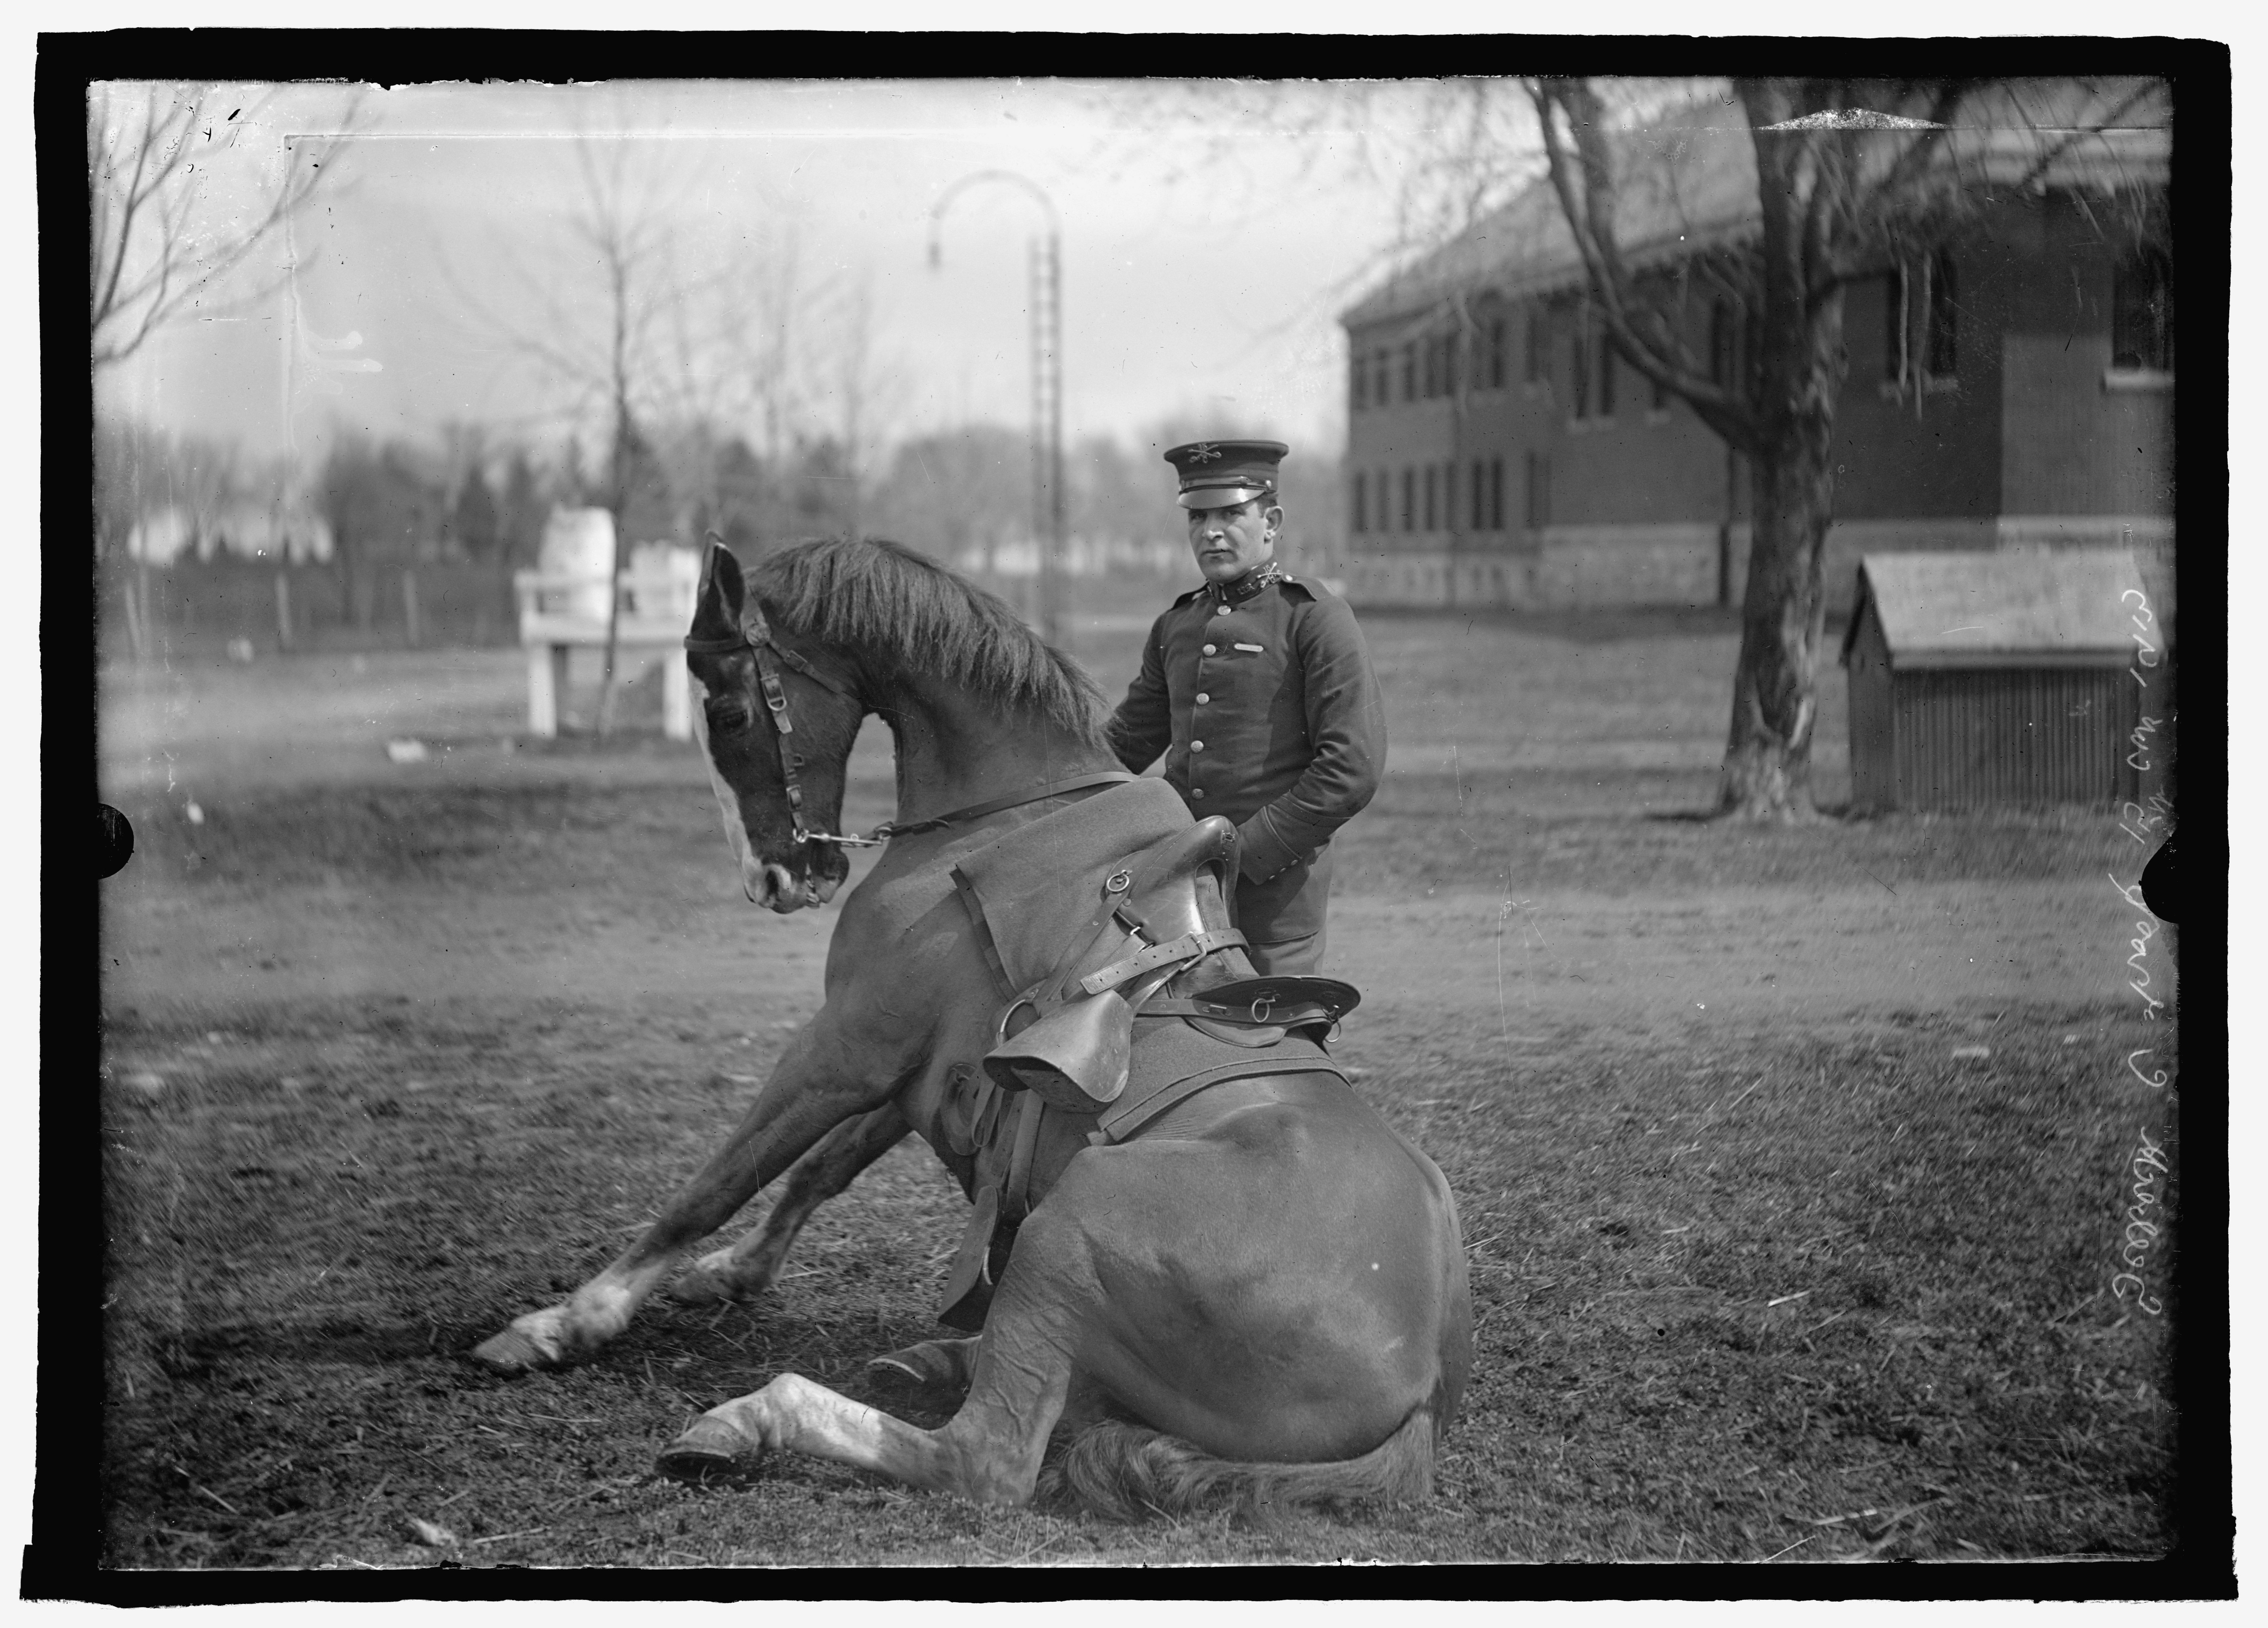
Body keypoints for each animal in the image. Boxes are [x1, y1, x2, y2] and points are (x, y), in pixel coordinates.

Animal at [469, 540, 1478, 1515]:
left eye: (726, 711)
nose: (775, 879)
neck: (993, 823)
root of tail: (1419, 1398)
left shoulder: (845, 1045)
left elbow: (719, 1178)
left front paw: (566, 1321)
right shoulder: (916, 1073)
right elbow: (817, 1170)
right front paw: (735, 1270)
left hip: (1070, 1226)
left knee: (985, 1459)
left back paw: (754, 1417)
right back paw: (927, 1359)